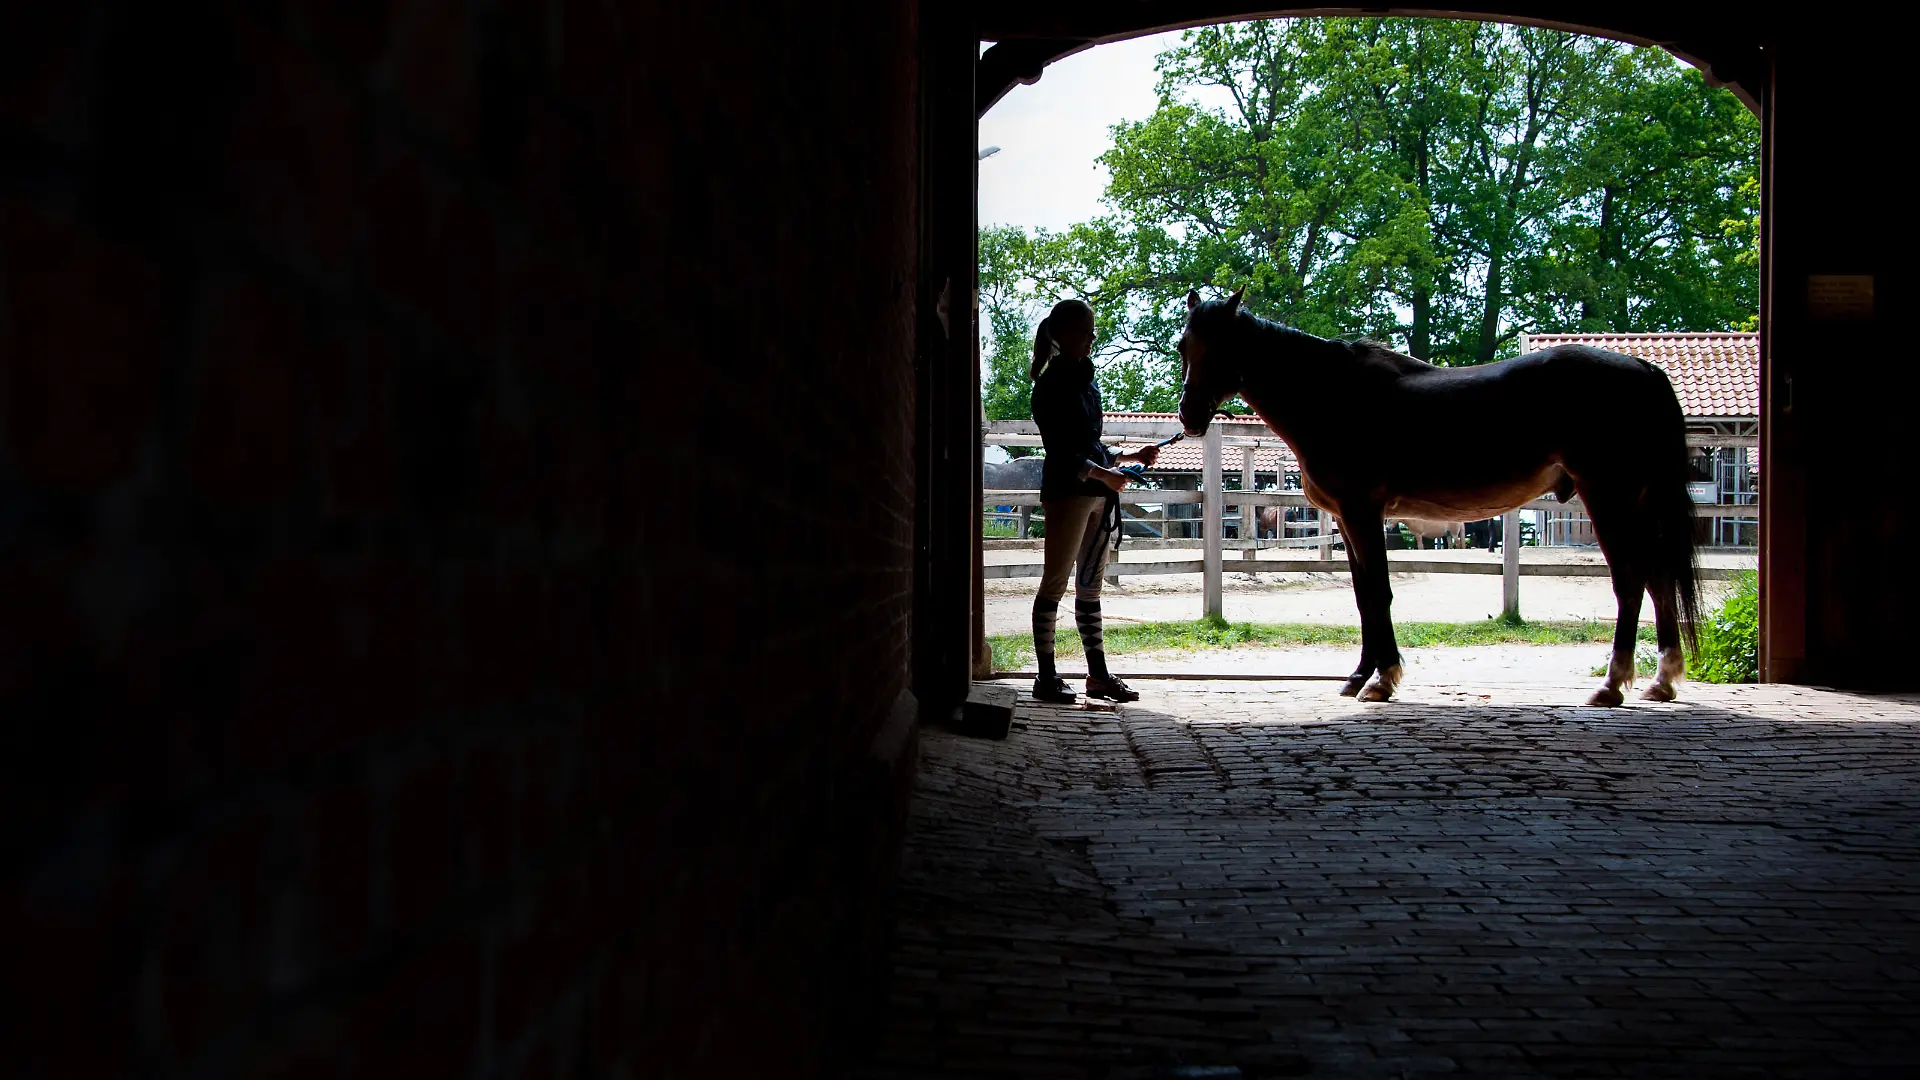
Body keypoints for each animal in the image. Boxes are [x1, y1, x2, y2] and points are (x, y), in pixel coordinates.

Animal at [1176, 286, 1700, 705]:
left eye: (1220, 346)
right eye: (1185, 346)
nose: (1188, 416)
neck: (1334, 398)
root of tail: (1644, 371)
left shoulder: (1362, 514)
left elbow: (1380, 592)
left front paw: (1383, 679)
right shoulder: (1346, 519)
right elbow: (1364, 595)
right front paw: (1360, 675)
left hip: (1608, 496)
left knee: (1631, 580)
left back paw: (1612, 685)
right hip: (1635, 502)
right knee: (1658, 579)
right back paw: (1661, 680)